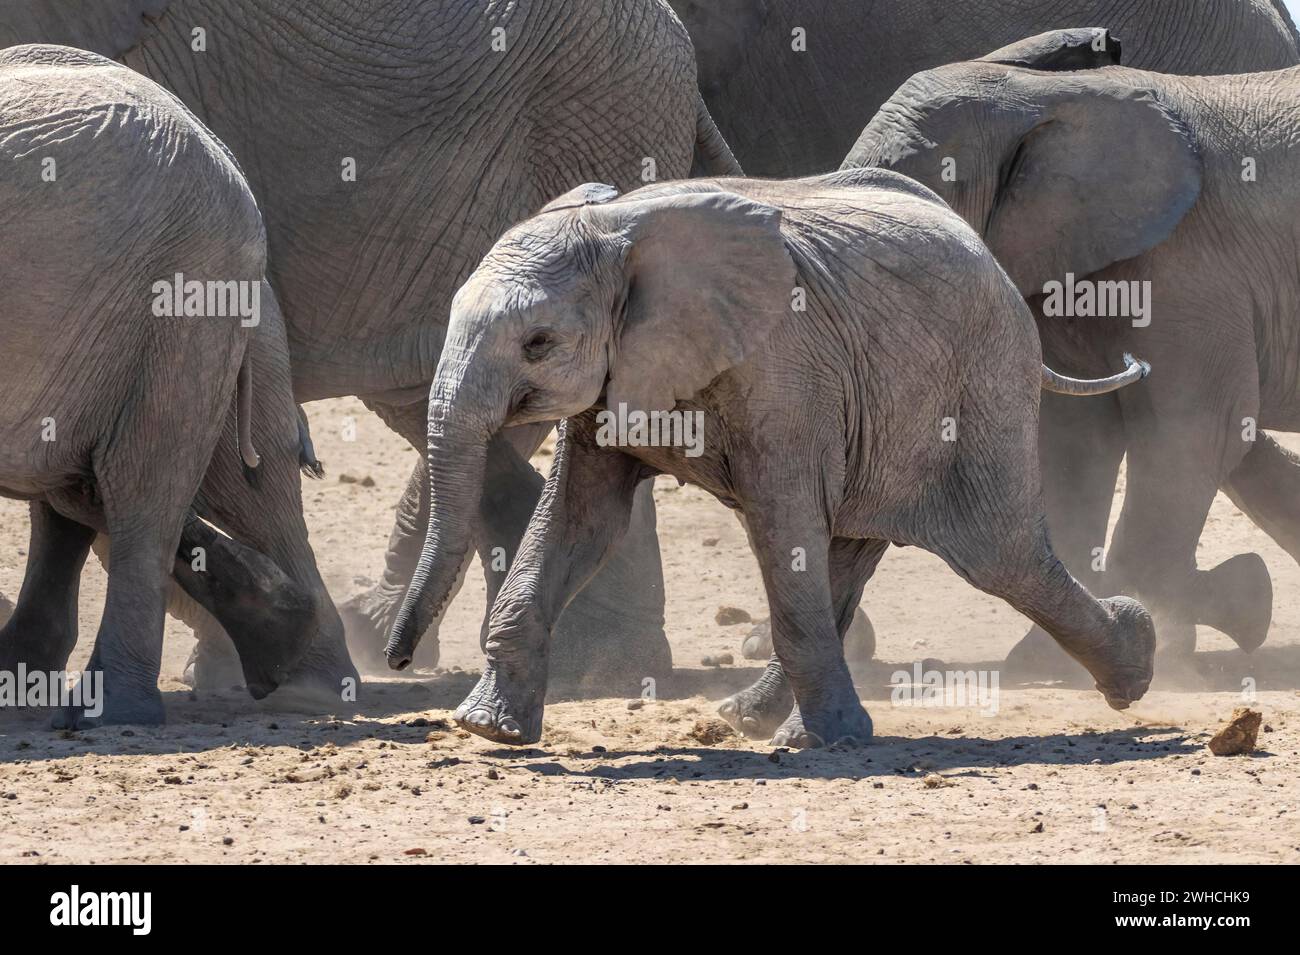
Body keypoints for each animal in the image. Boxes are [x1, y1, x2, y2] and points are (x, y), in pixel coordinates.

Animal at [384, 167, 1159, 748]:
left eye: (538, 343)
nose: (397, 656)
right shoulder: (620, 374)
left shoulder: (785, 373)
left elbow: (782, 527)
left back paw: (1137, 657)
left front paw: (837, 743)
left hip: (978, 385)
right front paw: (491, 729)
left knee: (1000, 553)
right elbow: (580, 521)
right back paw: (749, 723)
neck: (620, 228)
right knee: (853, 551)